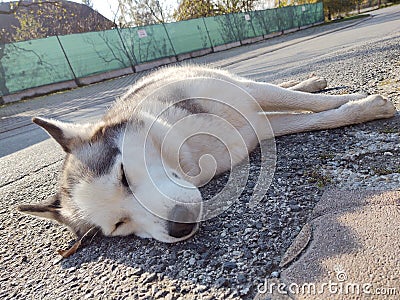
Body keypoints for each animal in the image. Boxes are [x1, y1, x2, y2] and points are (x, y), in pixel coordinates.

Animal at [18, 65, 394, 244]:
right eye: (118, 224)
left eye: (123, 174)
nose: (179, 225)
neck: (188, 150)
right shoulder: (257, 130)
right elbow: (312, 118)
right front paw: (358, 108)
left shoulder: (242, 96)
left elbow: (311, 105)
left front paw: (363, 103)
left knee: (278, 88)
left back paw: (312, 82)